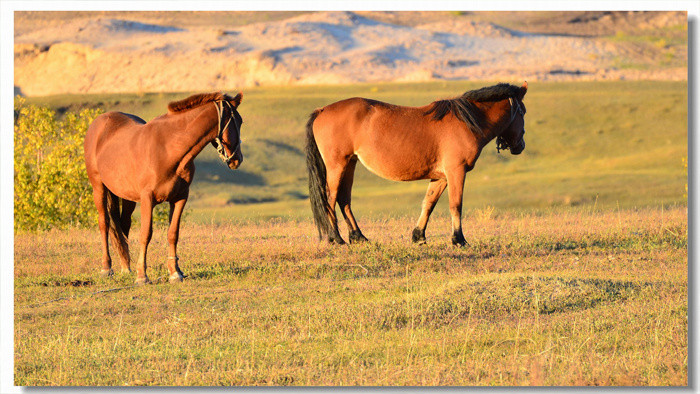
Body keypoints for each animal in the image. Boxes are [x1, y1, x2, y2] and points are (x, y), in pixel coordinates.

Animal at [84, 91, 245, 284]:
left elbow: (173, 233)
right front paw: (142, 276)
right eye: (237, 121)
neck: (169, 148)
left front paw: (175, 272)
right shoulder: (147, 199)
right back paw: (107, 268)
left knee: (123, 226)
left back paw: (125, 266)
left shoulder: (180, 198)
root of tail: (98, 123)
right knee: (105, 224)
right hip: (98, 188)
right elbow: (145, 234)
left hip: (127, 197)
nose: (237, 159)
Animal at [304, 81, 528, 245]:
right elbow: (456, 205)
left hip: (350, 164)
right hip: (337, 165)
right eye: (523, 112)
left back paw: (358, 237)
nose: (520, 146)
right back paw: (336, 238)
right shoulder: (456, 171)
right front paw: (459, 239)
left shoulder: (440, 177)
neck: (466, 122)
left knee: (344, 199)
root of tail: (322, 110)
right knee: (330, 198)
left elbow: (428, 203)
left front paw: (418, 236)